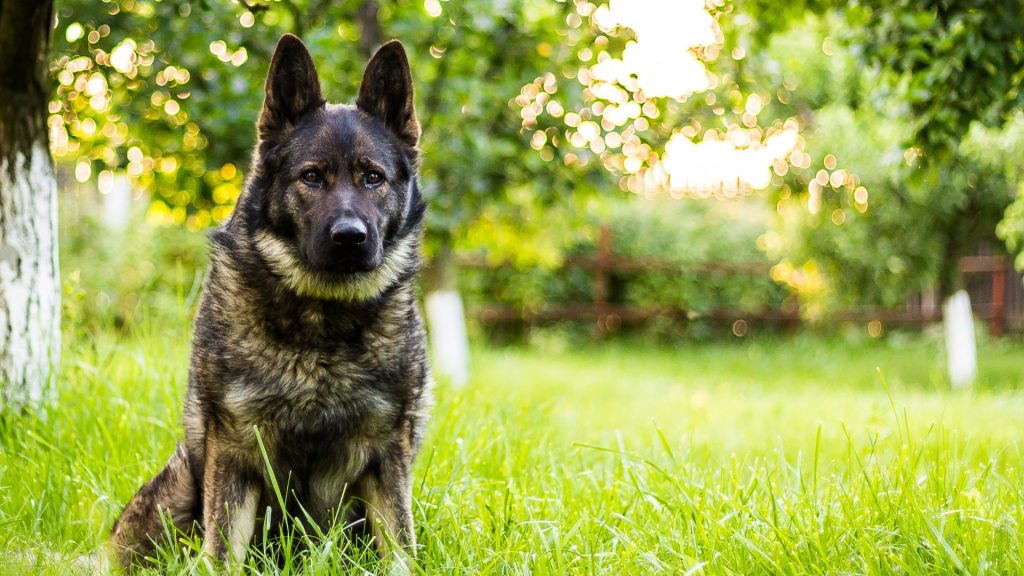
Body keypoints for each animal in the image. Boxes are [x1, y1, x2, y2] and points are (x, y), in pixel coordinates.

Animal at [105, 35, 434, 569]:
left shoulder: (387, 456)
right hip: (179, 486)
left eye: (373, 178)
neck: (322, 322)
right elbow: (221, 552)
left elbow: (401, 548)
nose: (350, 237)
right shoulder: (235, 451)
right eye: (312, 177)